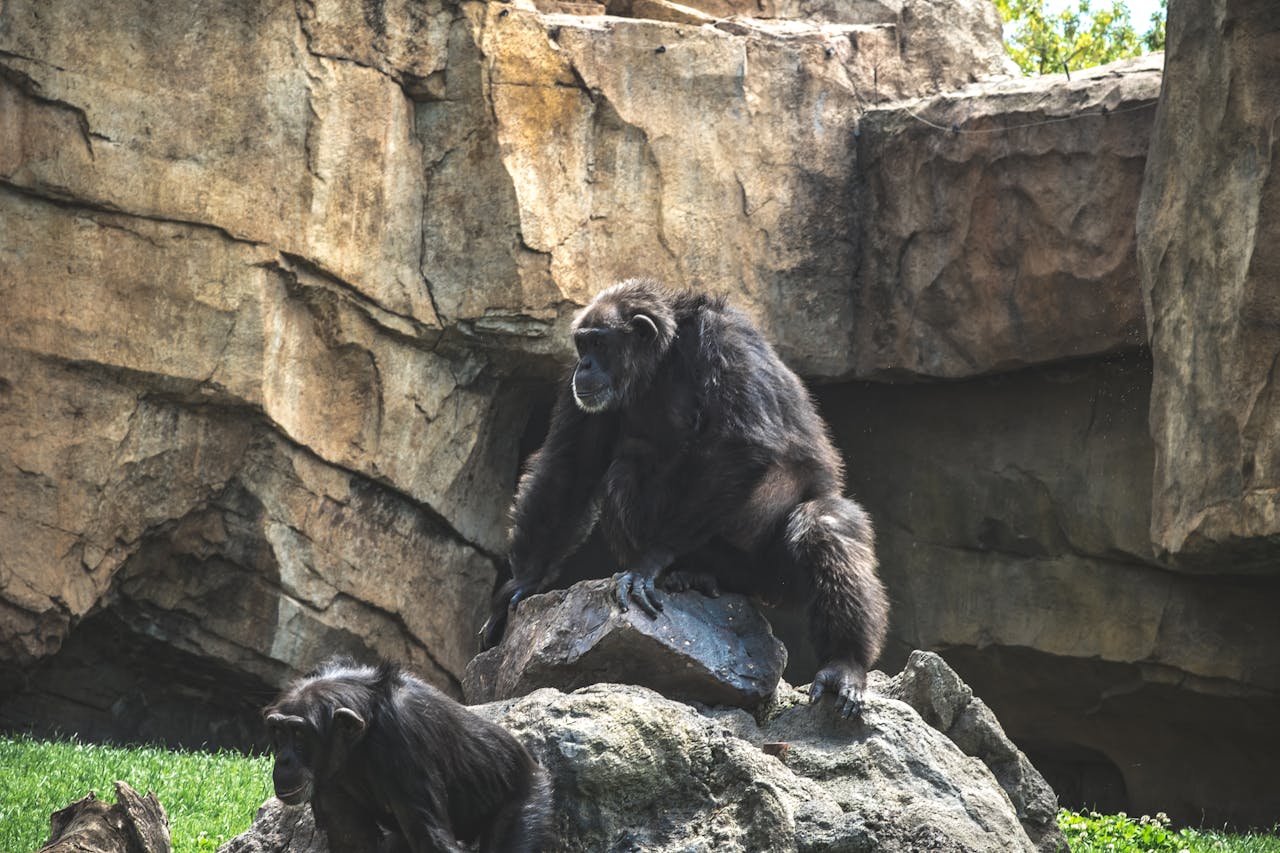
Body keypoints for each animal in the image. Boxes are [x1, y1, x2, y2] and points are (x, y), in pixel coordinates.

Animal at [264, 657, 553, 853]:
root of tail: (534, 764)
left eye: (299, 733)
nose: (284, 760)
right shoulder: (328, 781)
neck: (362, 739)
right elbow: (354, 842)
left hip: (526, 798)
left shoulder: (403, 738)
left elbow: (431, 841)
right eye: (279, 731)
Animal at [481, 278, 889, 717]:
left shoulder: (725, 344)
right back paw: (692, 575)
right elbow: (572, 465)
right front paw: (522, 583)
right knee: (625, 470)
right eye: (582, 344)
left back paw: (844, 664)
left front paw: (650, 562)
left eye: (599, 343)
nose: (584, 365)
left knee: (824, 525)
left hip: (775, 576)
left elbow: (743, 445)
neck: (662, 359)